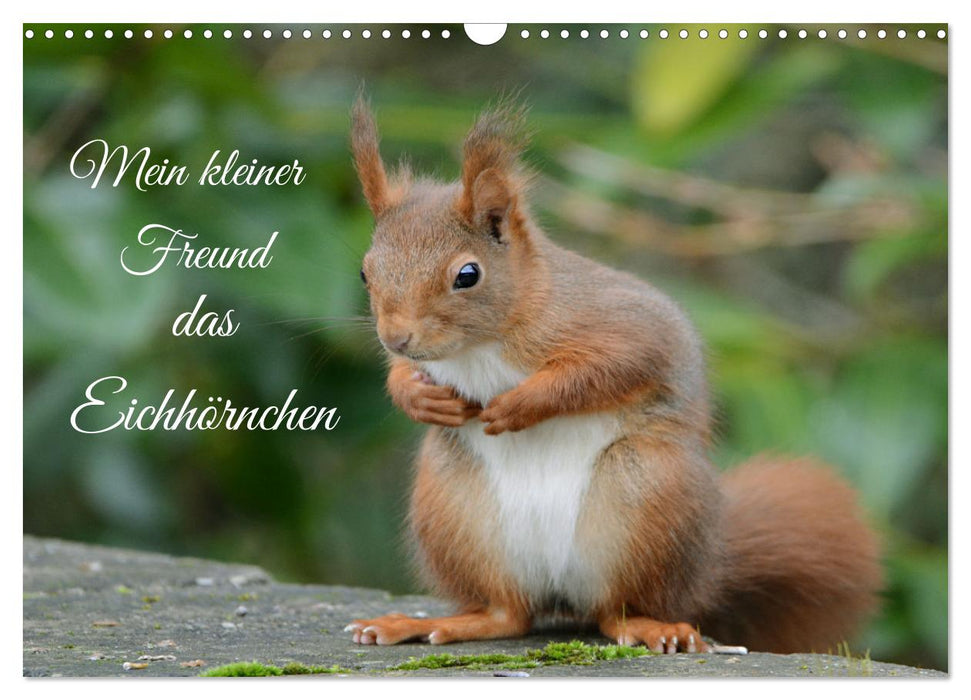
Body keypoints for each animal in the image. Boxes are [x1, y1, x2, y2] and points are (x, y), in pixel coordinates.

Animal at [344, 96, 883, 654]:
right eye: (365, 271)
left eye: (467, 275)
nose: (396, 337)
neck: (482, 344)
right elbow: (405, 376)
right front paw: (418, 397)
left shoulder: (623, 325)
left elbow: (608, 366)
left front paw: (519, 405)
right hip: (455, 511)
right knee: (508, 614)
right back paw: (429, 623)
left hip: (644, 496)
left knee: (614, 612)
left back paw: (654, 627)